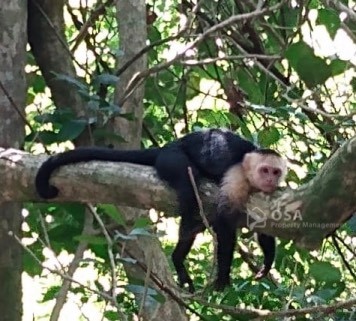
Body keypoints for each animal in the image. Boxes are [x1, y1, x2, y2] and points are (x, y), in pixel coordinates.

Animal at [35, 127, 286, 290]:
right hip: (172, 159)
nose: (270, 180)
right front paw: (223, 275)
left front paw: (267, 262)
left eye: (275, 172)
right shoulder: (237, 175)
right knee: (190, 194)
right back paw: (178, 257)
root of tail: (167, 146)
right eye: (265, 170)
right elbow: (224, 221)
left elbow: (263, 225)